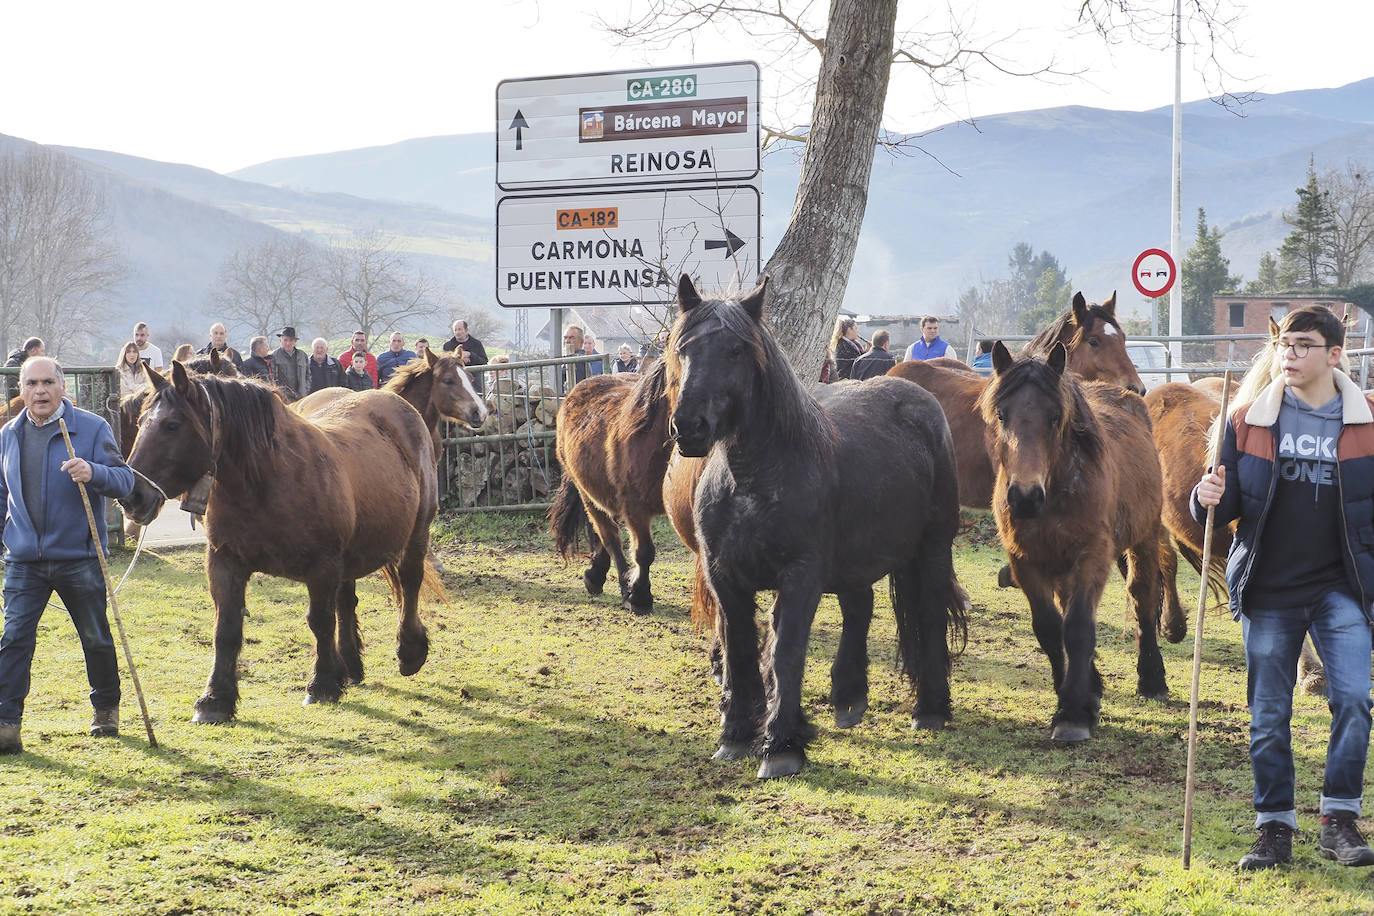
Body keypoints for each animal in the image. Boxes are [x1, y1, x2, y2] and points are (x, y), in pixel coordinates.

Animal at [122, 368, 436, 725]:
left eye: (172, 425)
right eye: (141, 421)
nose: (133, 496)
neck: (267, 481)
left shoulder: (322, 567)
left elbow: (320, 622)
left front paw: (322, 685)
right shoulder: (225, 562)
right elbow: (226, 629)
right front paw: (215, 699)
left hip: (416, 532)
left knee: (409, 583)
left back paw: (409, 652)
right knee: (347, 602)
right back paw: (350, 667)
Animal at [549, 362, 673, 612]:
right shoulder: (635, 509)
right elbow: (644, 553)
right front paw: (639, 597)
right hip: (587, 493)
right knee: (607, 534)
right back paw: (610, 581)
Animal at [665, 276, 967, 780]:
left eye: (736, 350)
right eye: (684, 348)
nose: (689, 427)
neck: (753, 478)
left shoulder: (801, 576)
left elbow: (785, 653)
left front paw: (782, 746)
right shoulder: (724, 576)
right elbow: (739, 649)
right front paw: (735, 736)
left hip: (930, 548)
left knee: (926, 613)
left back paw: (929, 710)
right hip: (857, 557)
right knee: (859, 609)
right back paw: (848, 699)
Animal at [983, 340, 1165, 741]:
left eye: (1055, 417)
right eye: (1002, 415)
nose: (1024, 497)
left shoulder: (1092, 554)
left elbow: (1079, 627)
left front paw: (1073, 715)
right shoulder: (1026, 561)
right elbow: (1050, 629)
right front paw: (1075, 697)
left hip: (1144, 538)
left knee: (1143, 598)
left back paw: (1152, 678)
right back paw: (1092, 686)